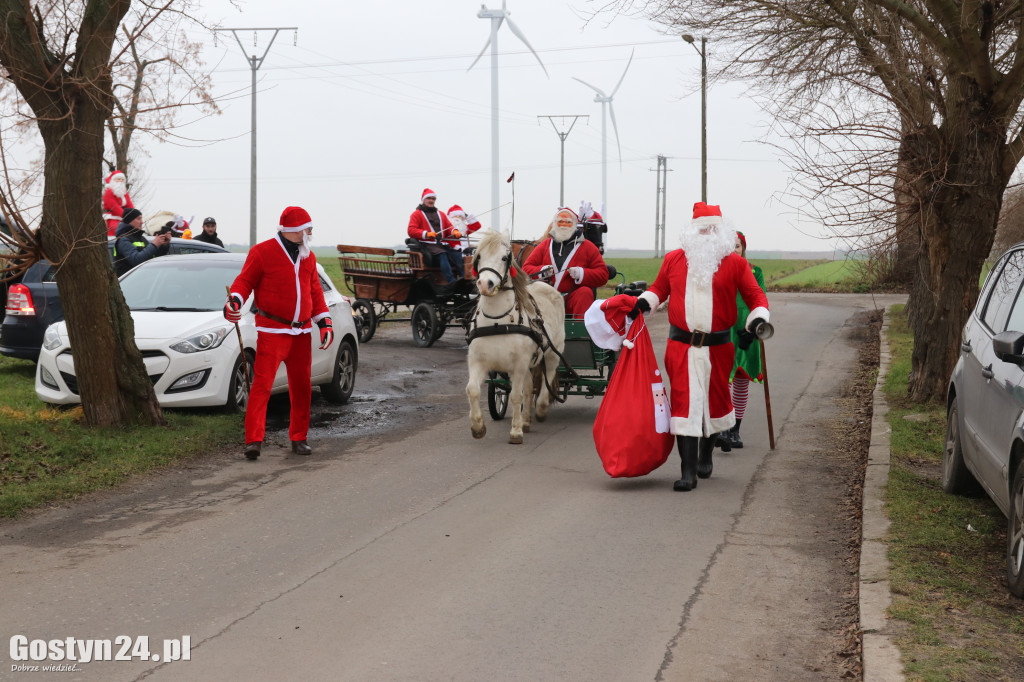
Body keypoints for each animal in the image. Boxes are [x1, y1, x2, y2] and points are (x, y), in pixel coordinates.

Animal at [466, 228, 565, 440]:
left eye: (504, 257)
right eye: (479, 256)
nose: (485, 284)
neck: (497, 321)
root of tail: (545, 284)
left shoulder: (518, 364)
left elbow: (515, 396)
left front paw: (516, 431)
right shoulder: (478, 361)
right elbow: (473, 390)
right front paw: (478, 427)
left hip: (553, 352)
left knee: (548, 376)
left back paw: (541, 409)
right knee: (528, 388)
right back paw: (526, 420)